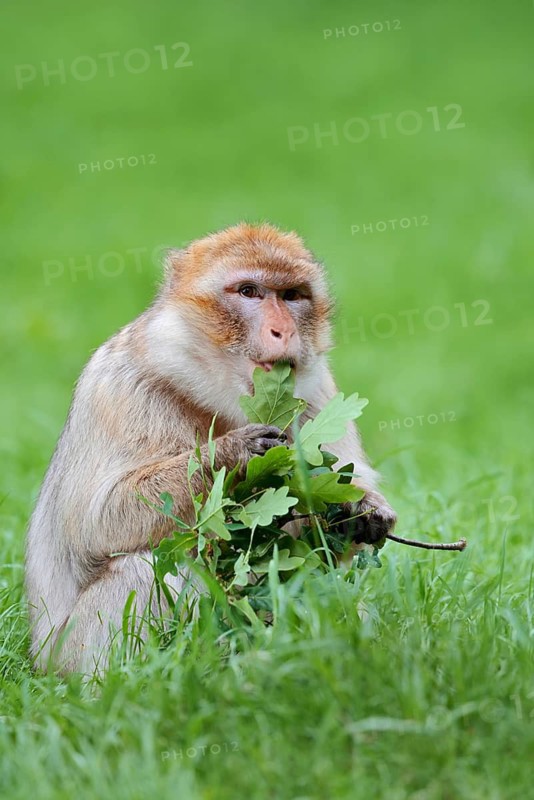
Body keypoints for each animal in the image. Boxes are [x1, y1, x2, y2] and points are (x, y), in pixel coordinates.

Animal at [25, 222, 396, 675]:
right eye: (250, 292)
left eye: (292, 295)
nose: (283, 331)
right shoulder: (119, 389)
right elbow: (97, 520)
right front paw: (237, 451)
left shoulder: (319, 393)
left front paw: (359, 509)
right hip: (69, 652)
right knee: (146, 566)